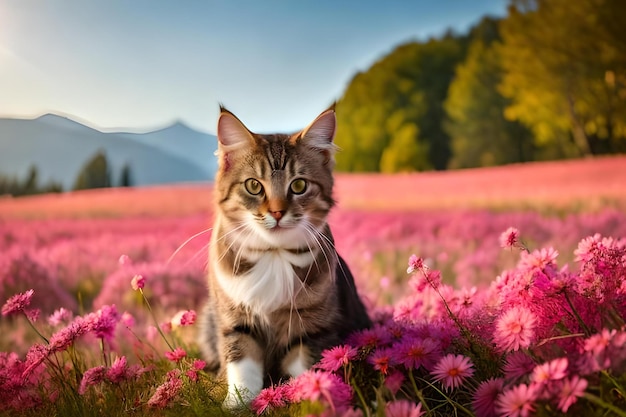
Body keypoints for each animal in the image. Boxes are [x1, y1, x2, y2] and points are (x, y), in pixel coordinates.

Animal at [197, 104, 368, 406]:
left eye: (298, 185)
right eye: (253, 185)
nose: (277, 212)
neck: (274, 256)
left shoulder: (312, 324)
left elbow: (306, 366)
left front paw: (311, 397)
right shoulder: (236, 318)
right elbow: (242, 367)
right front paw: (237, 404)